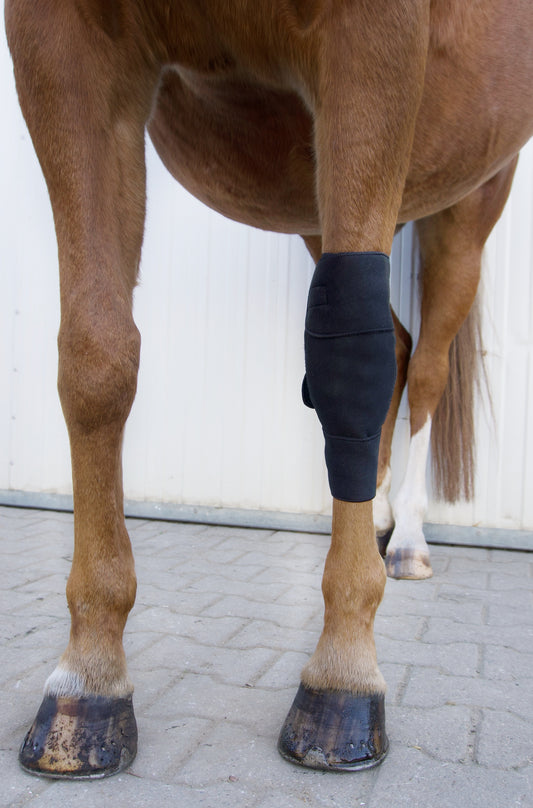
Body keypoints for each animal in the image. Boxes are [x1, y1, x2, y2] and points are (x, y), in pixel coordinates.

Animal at [5, 0, 533, 778]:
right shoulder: (61, 43)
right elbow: (96, 355)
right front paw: (89, 680)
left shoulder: (373, 41)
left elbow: (348, 366)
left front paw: (343, 674)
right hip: (316, 199)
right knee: (393, 344)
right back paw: (377, 514)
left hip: (467, 201)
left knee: (425, 366)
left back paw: (407, 537)